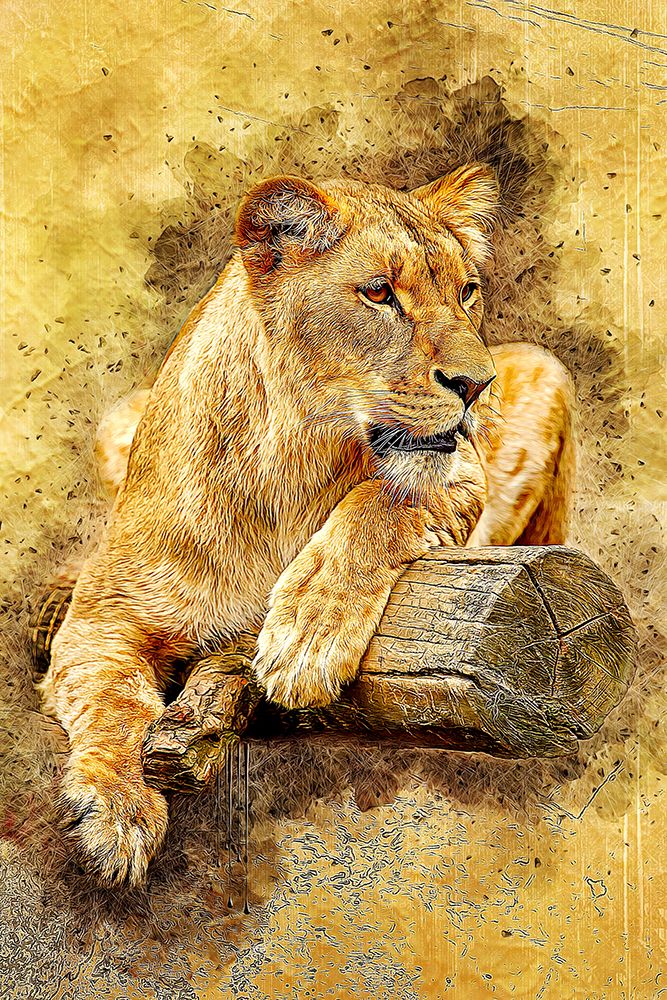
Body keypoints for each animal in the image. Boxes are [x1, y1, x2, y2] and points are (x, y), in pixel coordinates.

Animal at [39, 164, 574, 885]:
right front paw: (117, 812)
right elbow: (112, 700)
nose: (476, 384)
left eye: (467, 291)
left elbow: (380, 501)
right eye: (378, 293)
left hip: (546, 370)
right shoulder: (101, 619)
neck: (289, 461)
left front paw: (305, 639)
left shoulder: (460, 474)